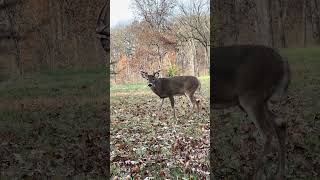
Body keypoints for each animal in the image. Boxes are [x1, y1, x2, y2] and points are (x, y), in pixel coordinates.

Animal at [212, 44, 290, 179]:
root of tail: (282, 62)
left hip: (251, 97)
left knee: (267, 132)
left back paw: (256, 174)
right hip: (258, 100)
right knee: (280, 122)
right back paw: (280, 173)